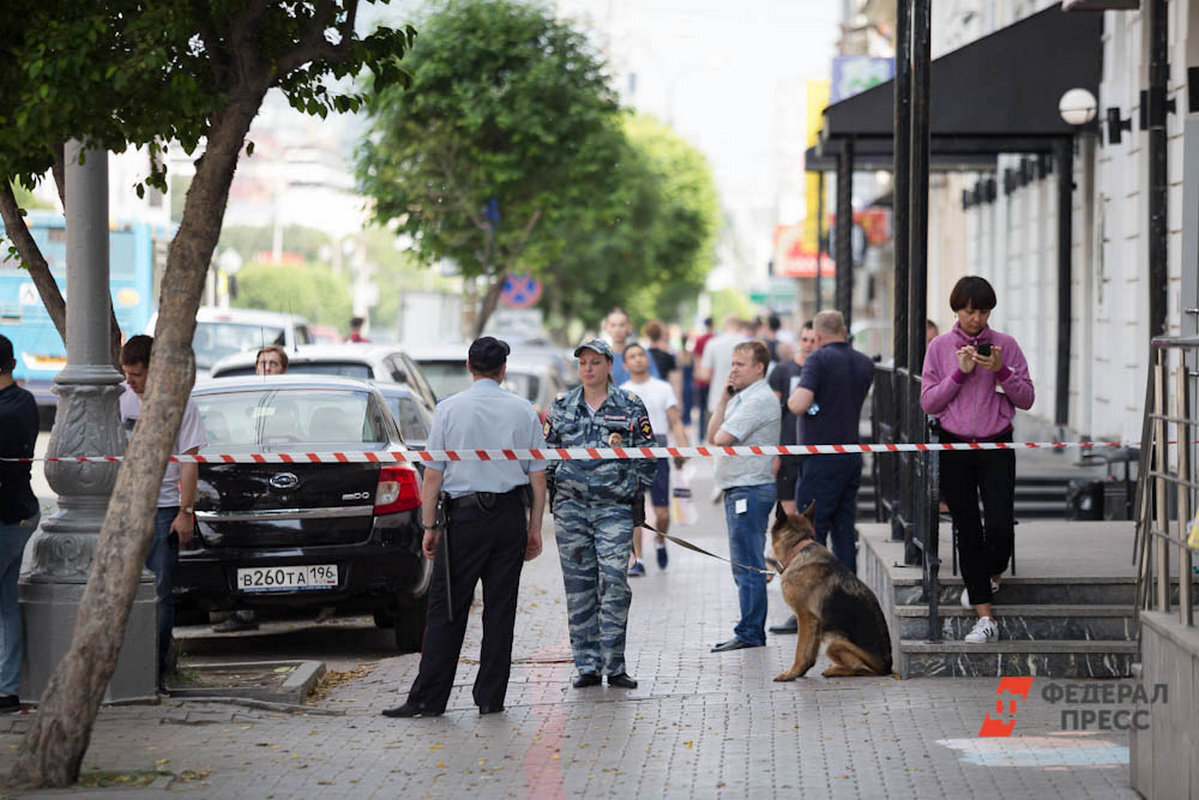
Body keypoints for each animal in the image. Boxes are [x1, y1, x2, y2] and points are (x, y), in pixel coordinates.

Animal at [767, 501, 892, 681]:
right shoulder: (815, 622)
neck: (798, 549)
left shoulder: (805, 617)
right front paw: (801, 671)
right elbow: (809, 654)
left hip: (836, 644)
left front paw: (791, 673)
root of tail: (888, 667)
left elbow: (800, 650)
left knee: (863, 670)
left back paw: (836, 670)